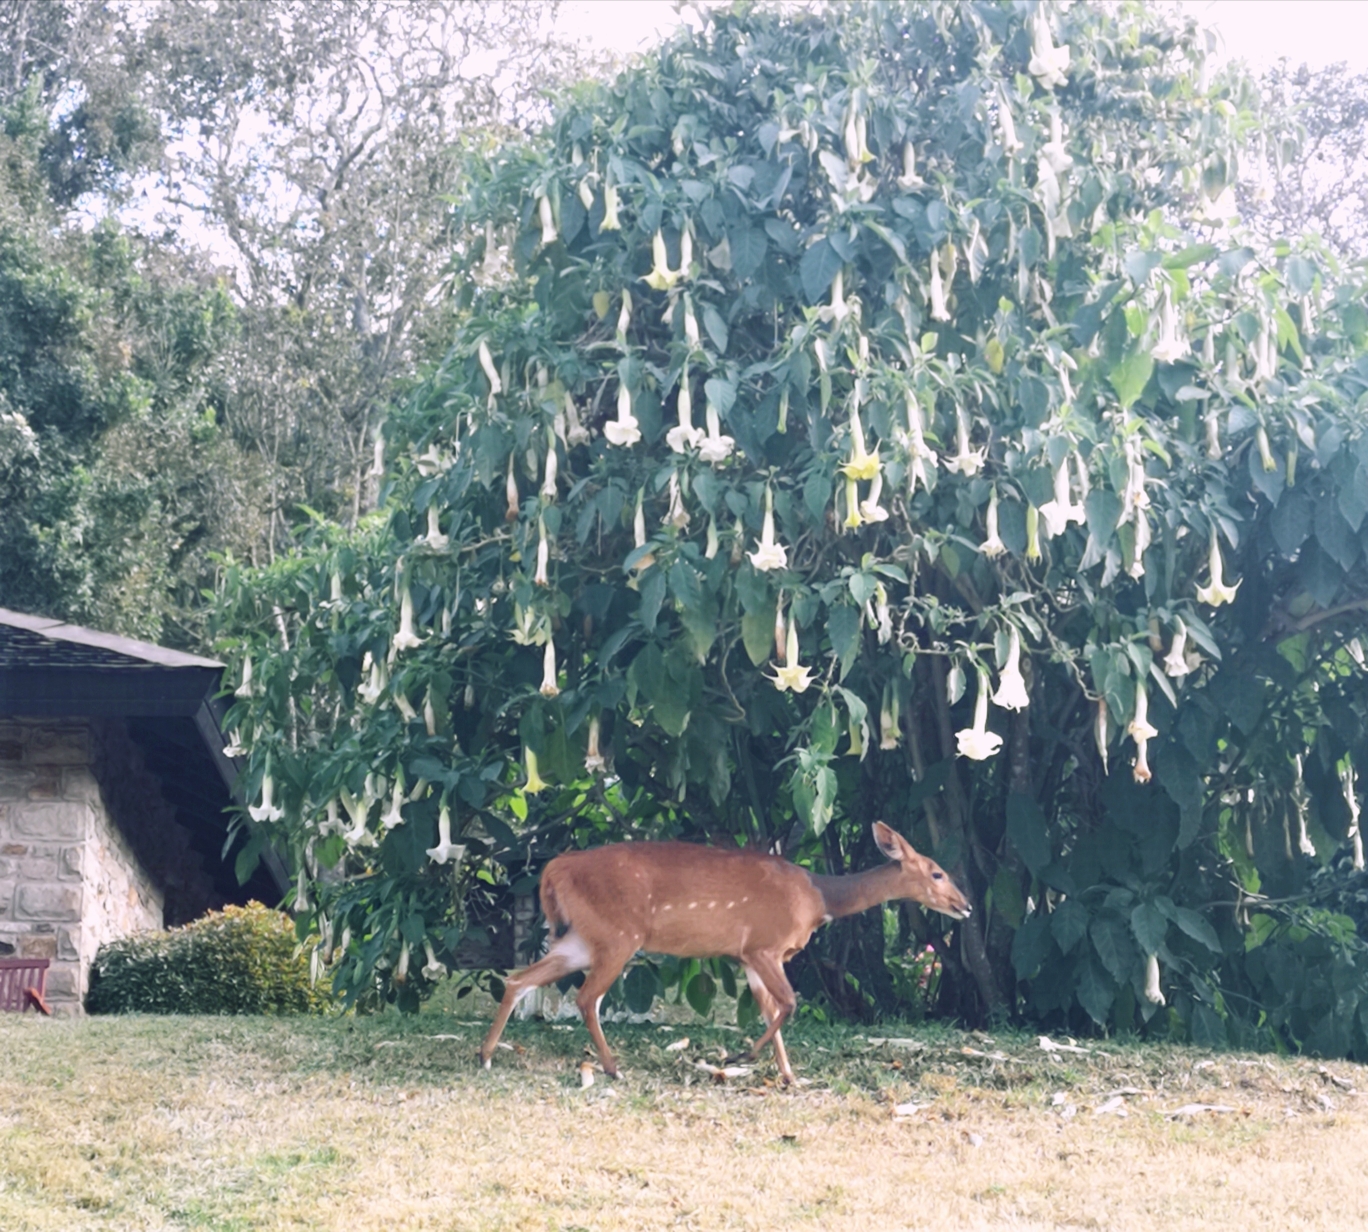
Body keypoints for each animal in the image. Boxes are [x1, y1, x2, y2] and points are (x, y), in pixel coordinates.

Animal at [481, 820, 974, 1082]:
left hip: (583, 937)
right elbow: (790, 1003)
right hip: (619, 934)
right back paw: (613, 1067)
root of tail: (552, 870)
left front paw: (789, 1076)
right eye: (937, 872)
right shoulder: (763, 946)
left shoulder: (753, 959)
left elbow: (773, 1009)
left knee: (519, 978)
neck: (819, 898)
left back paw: (486, 1054)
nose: (966, 905)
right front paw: (740, 1058)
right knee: (587, 997)